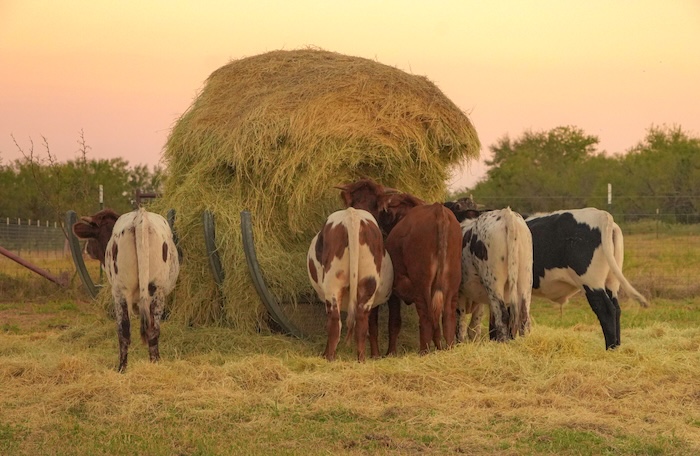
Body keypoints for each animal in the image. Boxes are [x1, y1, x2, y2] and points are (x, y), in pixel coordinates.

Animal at [72, 207, 180, 372]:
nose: (87, 249)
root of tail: (140, 217)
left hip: (122, 292)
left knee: (126, 330)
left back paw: (124, 368)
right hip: (155, 292)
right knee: (149, 330)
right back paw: (149, 364)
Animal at [307, 207, 393, 361]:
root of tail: (352, 214)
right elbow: (372, 327)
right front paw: (376, 355)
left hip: (333, 286)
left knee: (335, 323)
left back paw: (330, 358)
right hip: (367, 284)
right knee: (361, 323)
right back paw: (361, 360)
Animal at [337, 179, 463, 355]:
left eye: (374, 204)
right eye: (354, 202)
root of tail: (438, 211)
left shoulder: (390, 291)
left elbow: (388, 323)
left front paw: (385, 353)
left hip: (422, 285)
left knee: (426, 317)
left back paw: (423, 352)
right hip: (451, 284)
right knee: (447, 317)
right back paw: (448, 349)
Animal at [456, 207, 533, 343]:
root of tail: (506, 213)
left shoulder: (459, 293)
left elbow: (461, 323)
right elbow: (475, 326)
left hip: (493, 282)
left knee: (502, 317)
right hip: (525, 280)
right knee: (524, 317)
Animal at [525, 208, 648, 349]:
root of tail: (601, 214)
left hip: (591, 282)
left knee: (606, 310)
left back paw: (610, 349)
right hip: (611, 281)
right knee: (616, 309)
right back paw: (616, 347)